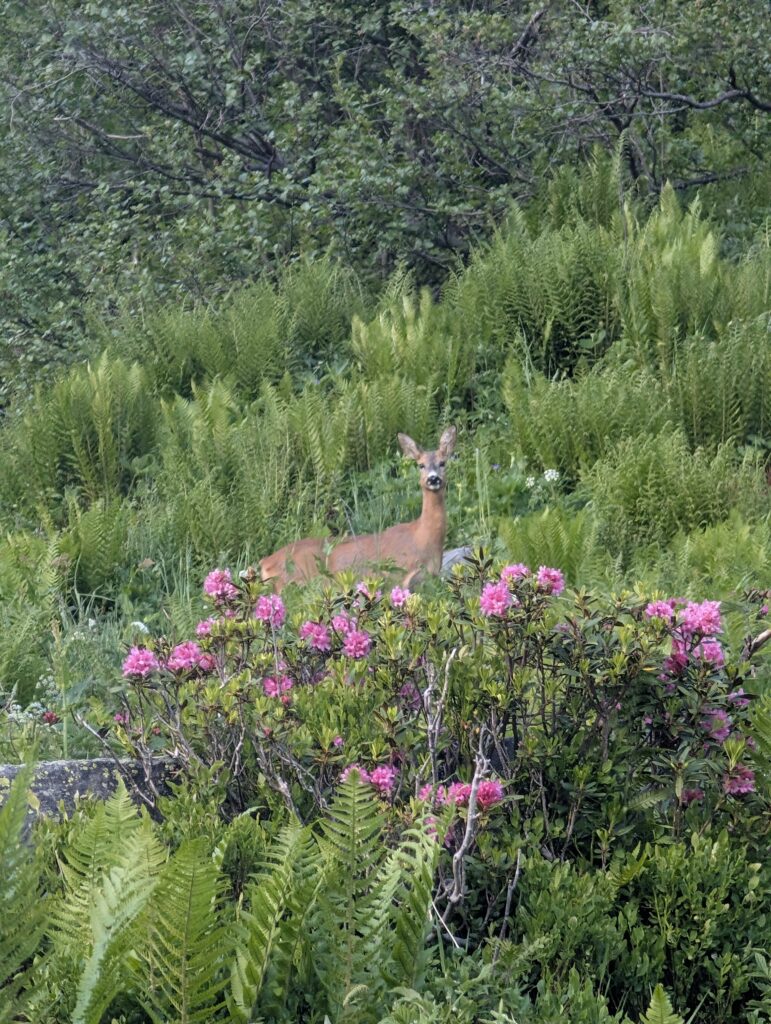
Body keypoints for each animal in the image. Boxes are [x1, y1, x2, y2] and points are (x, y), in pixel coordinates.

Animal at [259, 426, 457, 593]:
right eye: (421, 465)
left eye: (442, 463)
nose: (433, 479)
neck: (423, 537)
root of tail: (265, 563)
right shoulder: (398, 574)